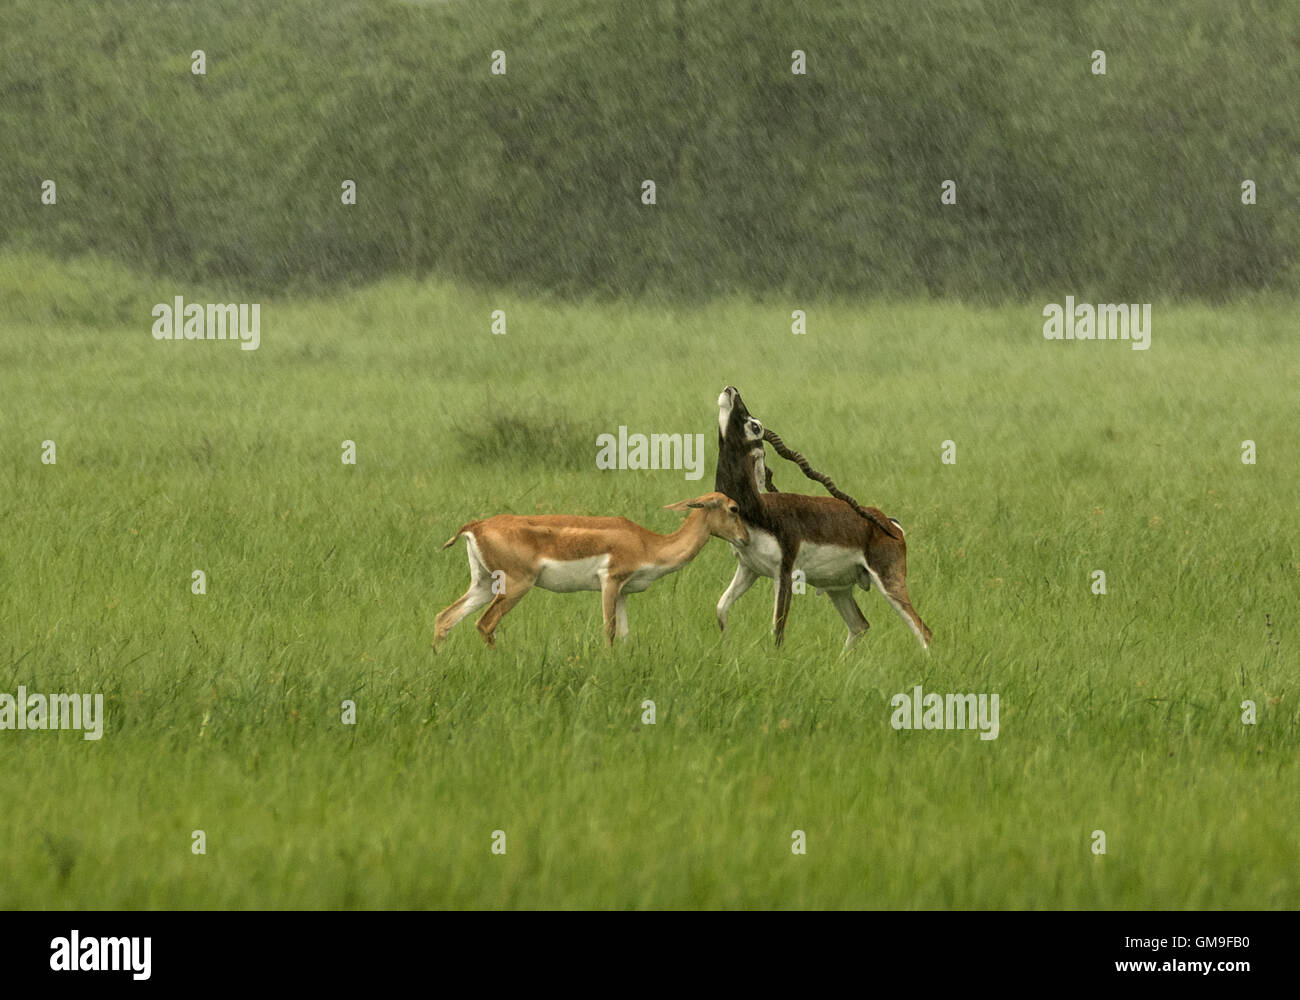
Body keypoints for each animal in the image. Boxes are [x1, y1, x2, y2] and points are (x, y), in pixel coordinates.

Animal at [434, 491, 748, 647]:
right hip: (515, 586)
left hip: (484, 585)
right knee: (484, 624)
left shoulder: (623, 593)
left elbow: (624, 634)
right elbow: (609, 630)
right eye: (734, 508)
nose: (745, 538)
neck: (648, 543)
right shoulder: (610, 582)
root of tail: (475, 526)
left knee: (444, 619)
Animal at [712, 384, 935, 650]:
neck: (760, 512)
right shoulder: (748, 568)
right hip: (838, 588)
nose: (732, 389)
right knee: (860, 625)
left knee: (924, 631)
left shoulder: (784, 574)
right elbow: (721, 608)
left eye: (755, 426)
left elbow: (777, 631)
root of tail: (890, 524)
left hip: (889, 582)